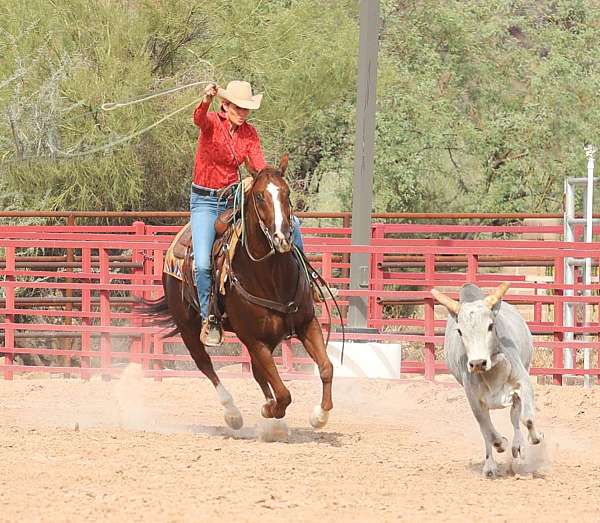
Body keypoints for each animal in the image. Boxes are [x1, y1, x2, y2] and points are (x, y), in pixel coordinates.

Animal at [149, 155, 336, 434]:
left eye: (287, 193)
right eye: (259, 196)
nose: (282, 237)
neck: (272, 277)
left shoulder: (306, 324)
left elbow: (325, 368)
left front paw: (319, 416)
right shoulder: (255, 340)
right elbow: (284, 394)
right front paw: (270, 411)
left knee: (259, 374)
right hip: (188, 328)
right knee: (205, 364)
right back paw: (233, 413)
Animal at [432, 282, 544, 478]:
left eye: (491, 326)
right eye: (460, 331)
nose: (478, 363)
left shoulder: (523, 382)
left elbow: (527, 419)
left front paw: (535, 438)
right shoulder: (474, 400)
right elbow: (490, 435)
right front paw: (501, 444)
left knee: (515, 418)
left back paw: (518, 447)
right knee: (486, 432)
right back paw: (490, 465)